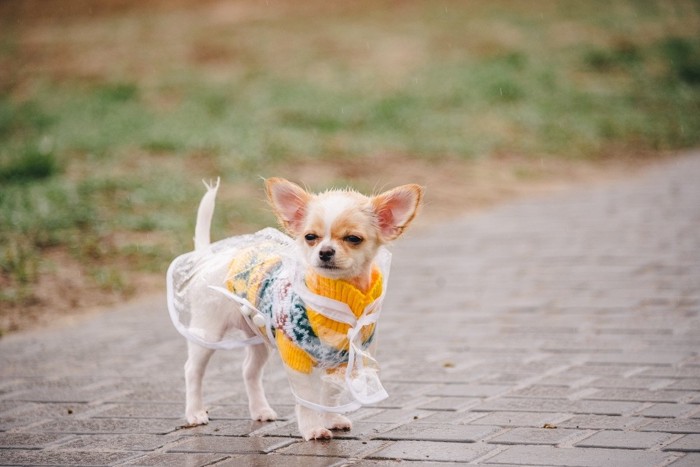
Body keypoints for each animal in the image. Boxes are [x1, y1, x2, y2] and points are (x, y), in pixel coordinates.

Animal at [167, 177, 424, 440]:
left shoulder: (342, 359)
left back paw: (260, 410)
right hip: (207, 332)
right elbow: (307, 398)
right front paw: (313, 429)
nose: (325, 251)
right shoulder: (295, 358)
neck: (340, 296)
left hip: (259, 337)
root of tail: (209, 257)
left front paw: (331, 419)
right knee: (192, 370)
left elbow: (330, 395)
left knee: (249, 370)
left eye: (353, 239)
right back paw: (195, 412)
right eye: (310, 237)